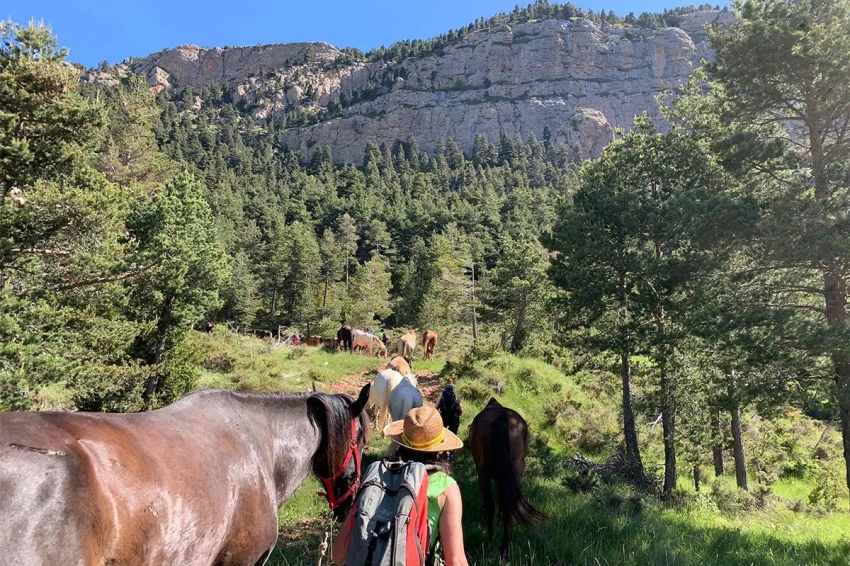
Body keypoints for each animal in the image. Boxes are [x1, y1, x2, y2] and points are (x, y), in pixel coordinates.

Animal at [468, 400, 540, 564]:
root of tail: (502, 418)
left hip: (483, 474)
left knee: (490, 505)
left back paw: (490, 539)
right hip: (514, 473)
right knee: (508, 507)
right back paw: (504, 551)